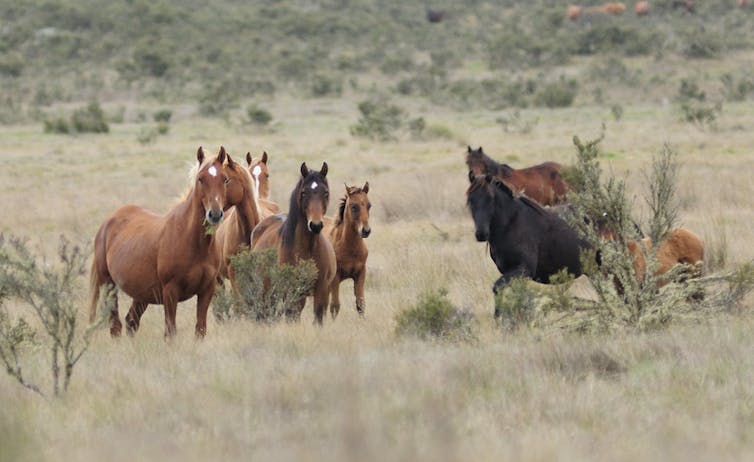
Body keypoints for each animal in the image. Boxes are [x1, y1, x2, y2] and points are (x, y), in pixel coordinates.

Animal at [89, 146, 244, 338]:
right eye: (200, 179)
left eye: (225, 179)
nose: (214, 214)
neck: (192, 241)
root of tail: (107, 223)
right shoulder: (170, 292)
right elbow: (170, 332)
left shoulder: (206, 291)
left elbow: (200, 330)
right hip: (109, 286)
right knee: (115, 326)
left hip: (142, 294)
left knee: (131, 322)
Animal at [250, 162, 334, 324]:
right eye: (304, 193)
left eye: (326, 193)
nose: (315, 225)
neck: (308, 249)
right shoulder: (293, 291)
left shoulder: (322, 291)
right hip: (267, 292)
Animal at [322, 182, 372, 320]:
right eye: (353, 206)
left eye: (369, 205)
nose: (366, 231)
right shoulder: (335, 278)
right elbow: (335, 306)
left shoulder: (360, 274)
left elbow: (361, 304)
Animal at [464, 174, 592, 318]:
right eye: (470, 200)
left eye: (490, 199)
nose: (481, 234)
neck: (511, 224)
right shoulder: (510, 272)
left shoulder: (524, 269)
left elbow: (497, 287)